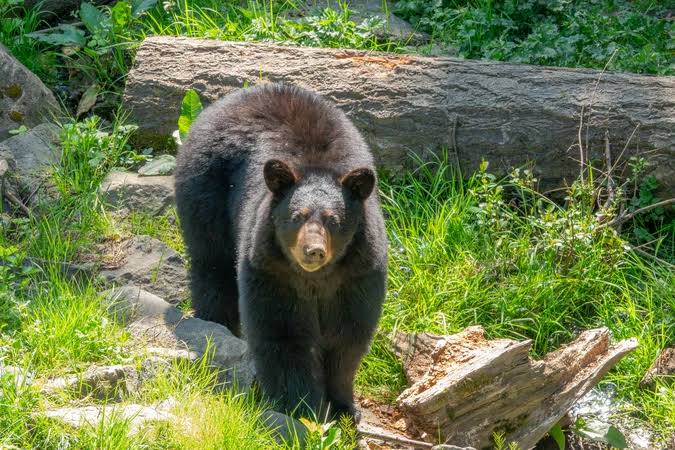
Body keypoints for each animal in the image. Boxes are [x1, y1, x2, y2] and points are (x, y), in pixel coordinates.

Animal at [174, 83, 387, 421]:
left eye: (333, 220)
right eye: (297, 216)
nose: (313, 251)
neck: (316, 278)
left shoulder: (358, 273)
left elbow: (347, 338)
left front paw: (344, 406)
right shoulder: (271, 270)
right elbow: (282, 333)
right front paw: (299, 407)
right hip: (205, 193)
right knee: (212, 267)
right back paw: (216, 326)